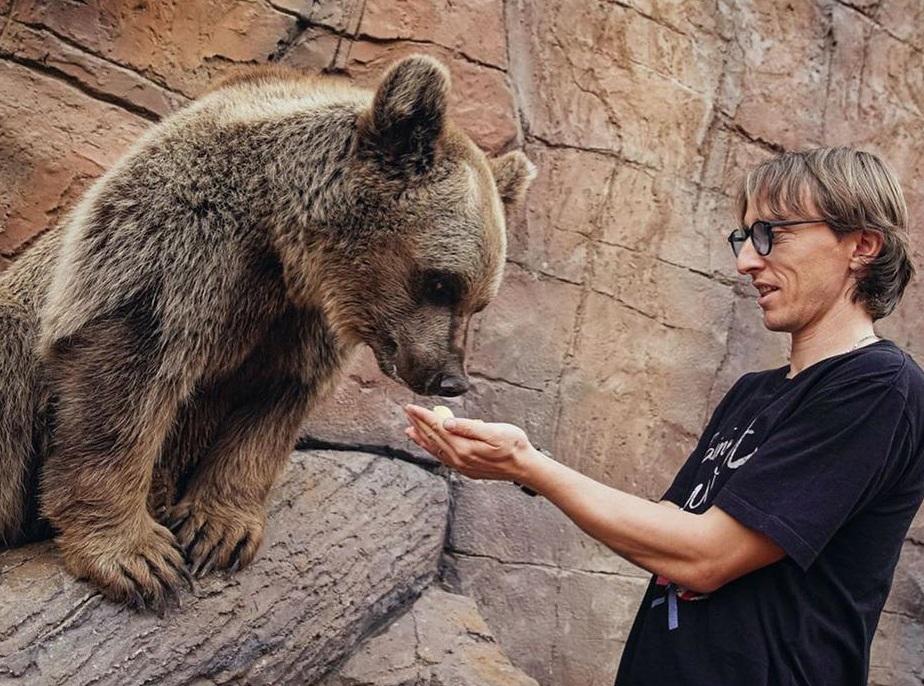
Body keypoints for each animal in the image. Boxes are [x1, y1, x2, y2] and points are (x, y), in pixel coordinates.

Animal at [0, 53, 536, 612]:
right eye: (440, 281)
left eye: (479, 301)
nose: (449, 378)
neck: (280, 246)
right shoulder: (177, 248)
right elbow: (126, 378)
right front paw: (136, 558)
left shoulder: (299, 322)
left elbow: (272, 407)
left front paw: (218, 530)